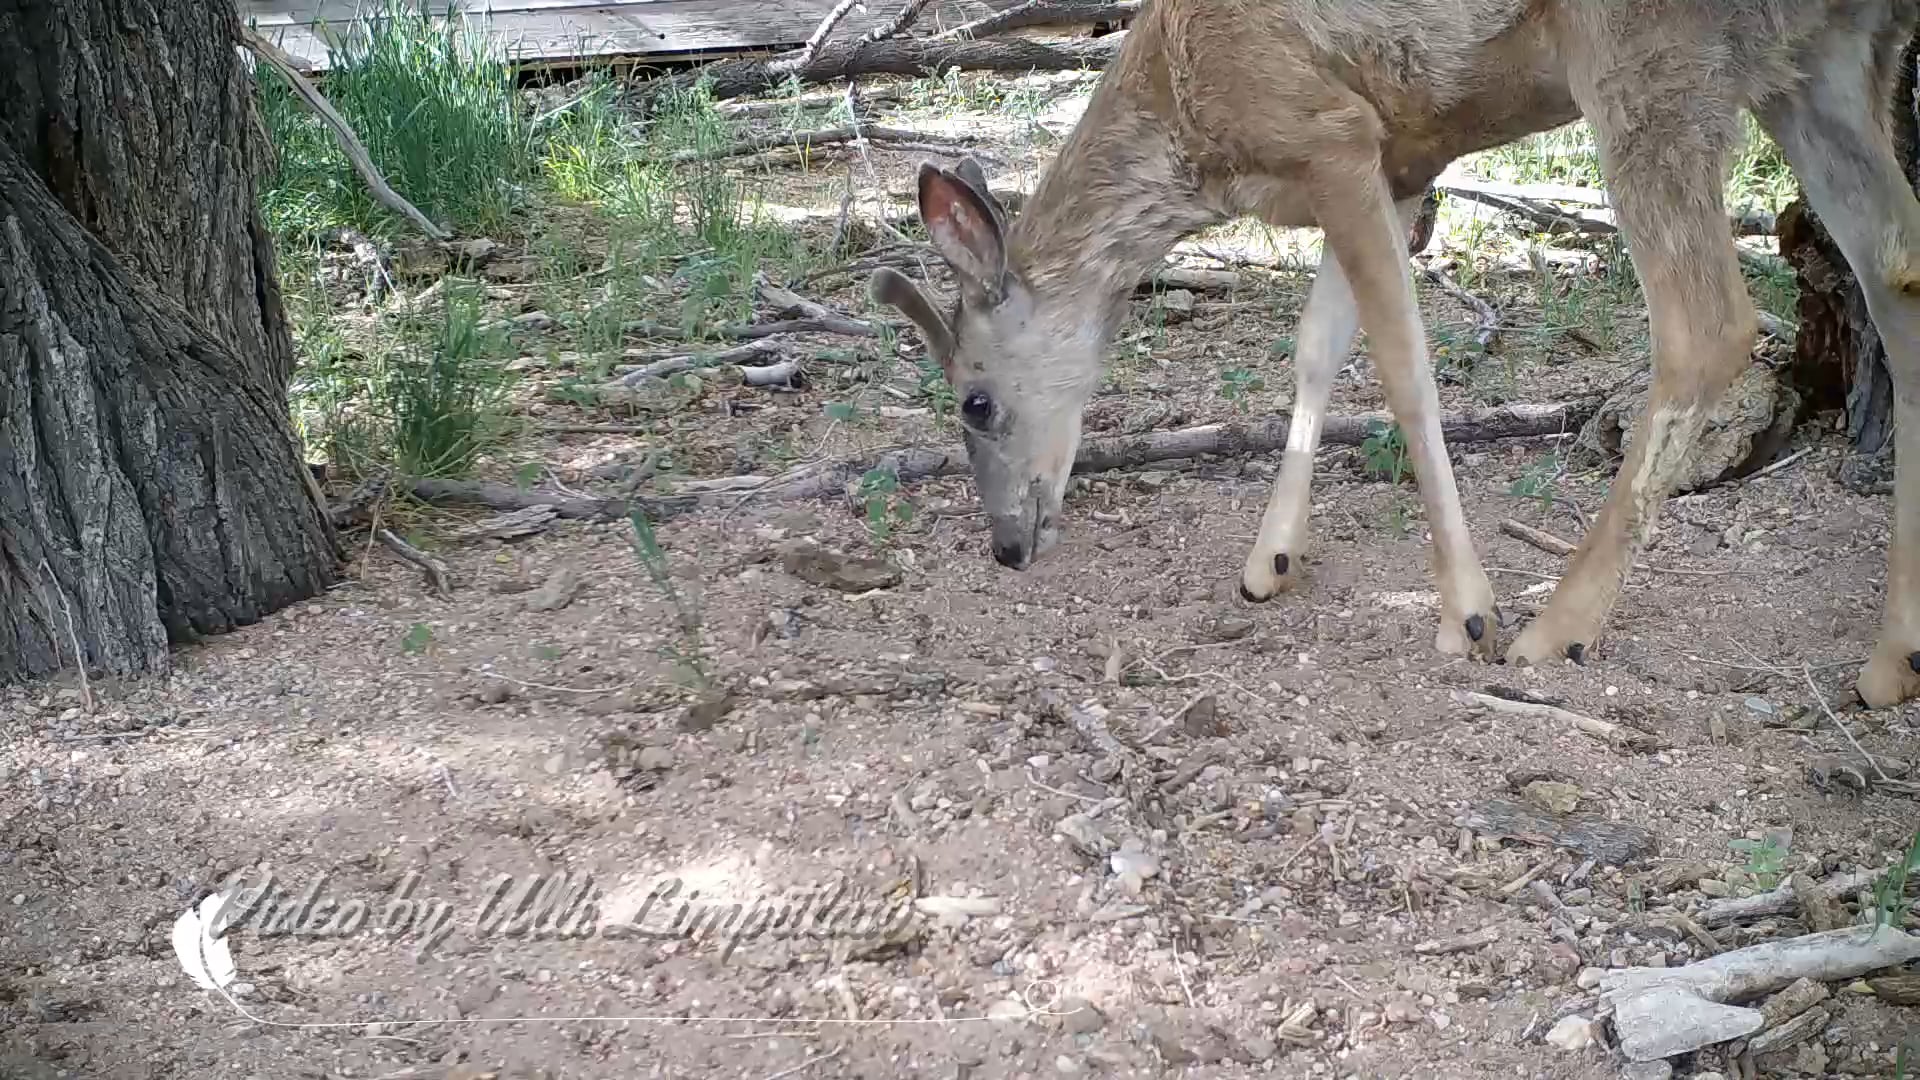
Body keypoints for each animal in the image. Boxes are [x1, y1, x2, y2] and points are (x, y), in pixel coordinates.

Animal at [870, 0, 1920, 709]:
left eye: (972, 401)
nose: (1008, 547)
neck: (1185, 124)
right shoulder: (1400, 155)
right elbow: (1316, 348)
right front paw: (1270, 562)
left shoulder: (1327, 131)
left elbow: (1403, 363)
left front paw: (1469, 615)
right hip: (1824, 59)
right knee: (1897, 277)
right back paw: (1889, 661)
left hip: (1648, 53)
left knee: (1711, 325)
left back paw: (1556, 629)